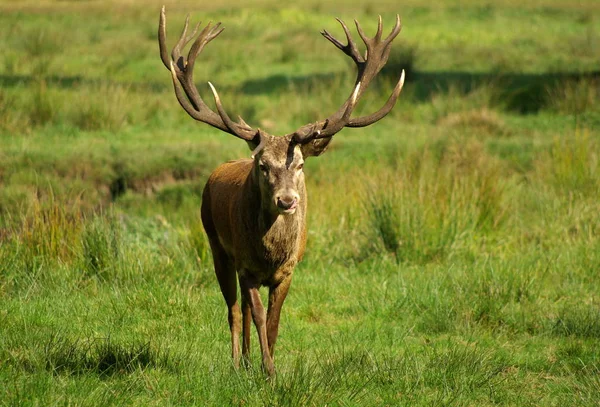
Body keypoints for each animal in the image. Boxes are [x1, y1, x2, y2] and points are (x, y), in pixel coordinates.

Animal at [157, 6, 406, 376]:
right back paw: (237, 362)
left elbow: (274, 321)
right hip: (216, 245)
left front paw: (269, 366)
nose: (287, 200)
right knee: (234, 308)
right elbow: (258, 315)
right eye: (262, 165)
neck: (271, 253)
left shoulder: (289, 269)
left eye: (300, 164)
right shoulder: (245, 264)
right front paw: (269, 370)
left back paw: (247, 361)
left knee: (243, 309)